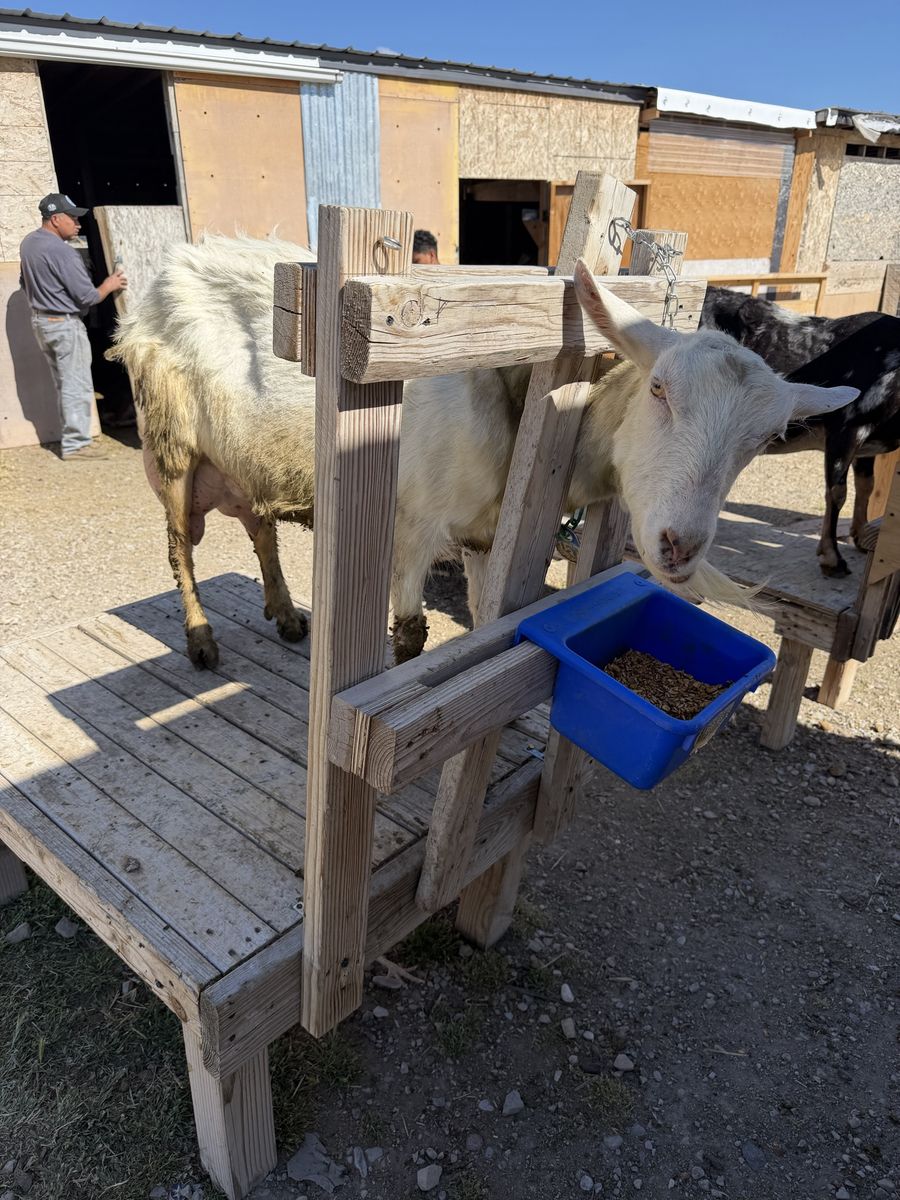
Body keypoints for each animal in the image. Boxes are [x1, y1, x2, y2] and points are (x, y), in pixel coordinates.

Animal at [108, 236, 857, 668]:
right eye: (659, 388)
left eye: (764, 441)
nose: (680, 547)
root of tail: (164, 273)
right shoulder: (412, 526)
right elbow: (412, 635)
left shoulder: (486, 533)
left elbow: (478, 619)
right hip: (170, 448)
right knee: (178, 549)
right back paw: (201, 638)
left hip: (246, 458)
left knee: (260, 525)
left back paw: (287, 613)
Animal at [700, 286, 900, 576]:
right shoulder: (847, 426)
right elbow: (837, 492)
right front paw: (832, 557)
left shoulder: (868, 444)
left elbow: (866, 485)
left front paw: (861, 536)